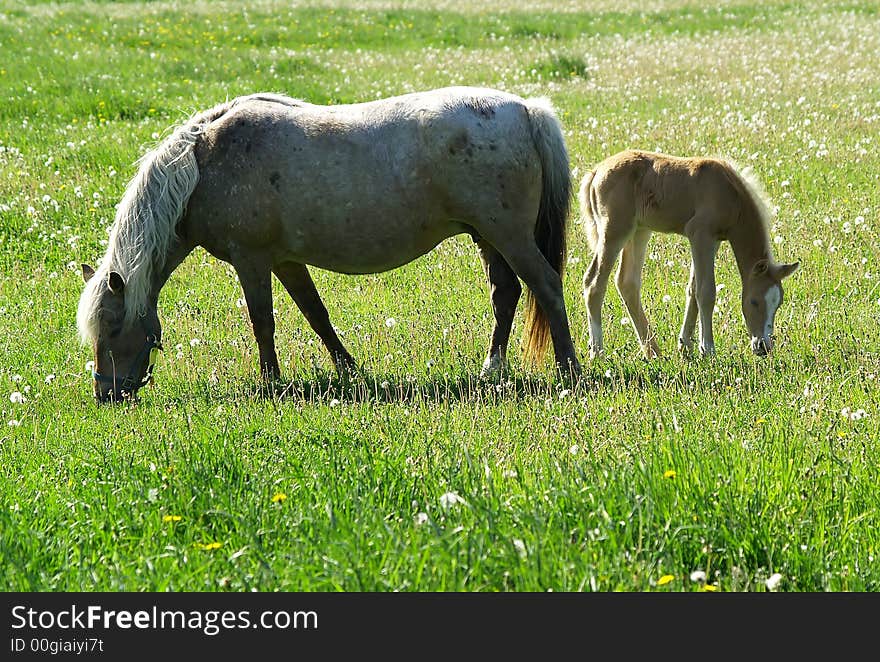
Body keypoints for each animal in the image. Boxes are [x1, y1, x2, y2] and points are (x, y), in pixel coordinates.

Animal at [77, 86, 584, 402]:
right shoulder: (285, 262)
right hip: (488, 237)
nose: (105, 393)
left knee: (546, 286)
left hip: (509, 236)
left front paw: (270, 384)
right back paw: (491, 370)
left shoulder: (251, 260)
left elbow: (263, 323)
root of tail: (526, 110)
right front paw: (350, 371)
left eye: (112, 327)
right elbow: (316, 315)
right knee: (507, 294)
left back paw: (570, 372)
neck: (204, 163)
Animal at [580, 150, 800, 360]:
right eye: (754, 301)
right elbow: (706, 291)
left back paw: (653, 352)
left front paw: (685, 346)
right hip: (615, 231)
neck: (730, 193)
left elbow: (693, 289)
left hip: (639, 231)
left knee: (627, 283)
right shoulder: (700, 234)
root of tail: (596, 171)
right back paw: (598, 352)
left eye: (778, 303)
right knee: (594, 282)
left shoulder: (712, 240)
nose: (763, 346)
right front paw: (708, 349)